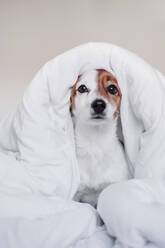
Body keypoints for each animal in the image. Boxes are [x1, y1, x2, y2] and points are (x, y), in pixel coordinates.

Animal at [69, 69, 129, 206]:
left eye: (112, 88)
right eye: (82, 88)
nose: (98, 104)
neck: (95, 144)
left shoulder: (111, 189)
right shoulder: (76, 195)